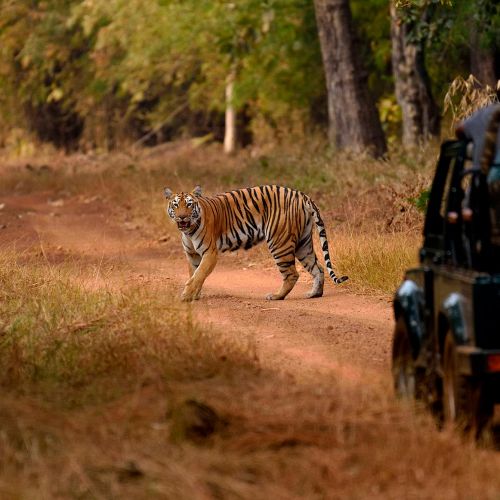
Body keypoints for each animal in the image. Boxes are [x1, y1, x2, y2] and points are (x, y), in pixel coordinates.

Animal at [164, 184, 348, 300]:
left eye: (189, 205)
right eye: (175, 205)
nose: (182, 217)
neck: (188, 231)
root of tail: (301, 194)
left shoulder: (210, 253)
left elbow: (198, 274)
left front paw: (186, 295)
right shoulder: (192, 254)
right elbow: (194, 274)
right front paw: (193, 295)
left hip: (279, 242)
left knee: (292, 274)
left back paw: (276, 296)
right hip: (304, 244)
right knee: (318, 268)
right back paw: (313, 294)